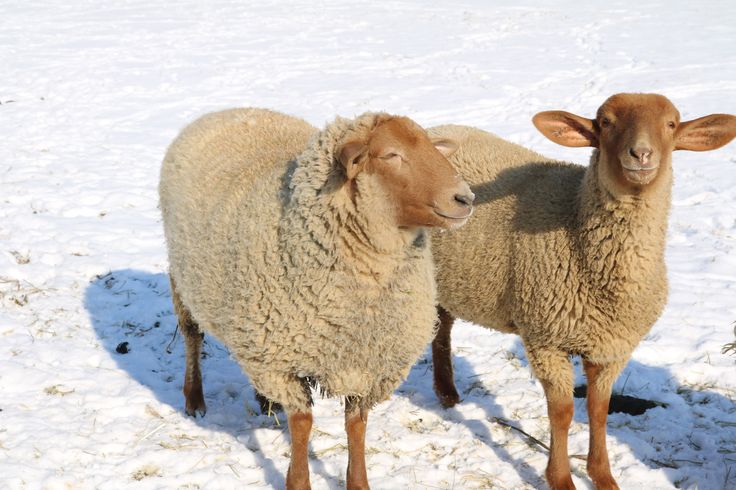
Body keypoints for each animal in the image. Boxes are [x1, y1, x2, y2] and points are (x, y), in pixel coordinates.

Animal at [158, 108, 474, 490]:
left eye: (430, 145)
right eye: (390, 155)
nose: (465, 198)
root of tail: (229, 111)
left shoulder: (366, 361)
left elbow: (357, 425)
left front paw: (358, 482)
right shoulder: (282, 362)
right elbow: (302, 425)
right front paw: (298, 481)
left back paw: (265, 403)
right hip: (183, 281)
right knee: (192, 337)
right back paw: (195, 399)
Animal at [426, 93, 736, 490]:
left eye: (671, 124)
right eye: (605, 122)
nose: (641, 154)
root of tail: (436, 129)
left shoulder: (612, 347)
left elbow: (598, 410)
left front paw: (602, 475)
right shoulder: (545, 339)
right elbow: (562, 412)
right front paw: (560, 478)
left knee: (442, 327)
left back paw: (448, 394)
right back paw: (445, 392)